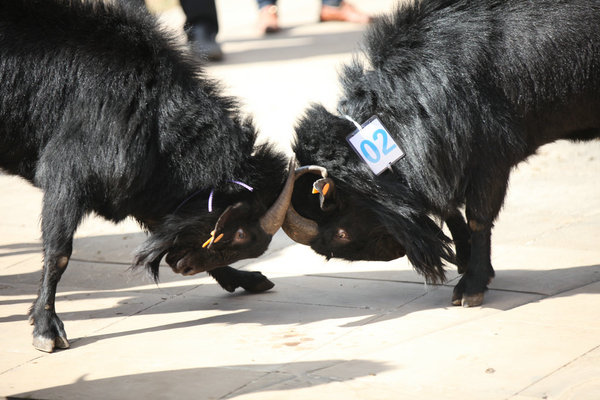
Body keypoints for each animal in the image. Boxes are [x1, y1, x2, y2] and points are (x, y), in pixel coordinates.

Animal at [0, 0, 292, 350]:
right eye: (241, 234)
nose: (184, 268)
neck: (153, 115)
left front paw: (245, 278)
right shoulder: (67, 175)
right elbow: (59, 252)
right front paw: (46, 328)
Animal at [284, 0, 596, 306]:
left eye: (339, 235)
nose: (395, 251)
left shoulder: (489, 158)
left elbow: (477, 216)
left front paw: (472, 285)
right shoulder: (445, 158)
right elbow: (448, 208)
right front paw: (467, 261)